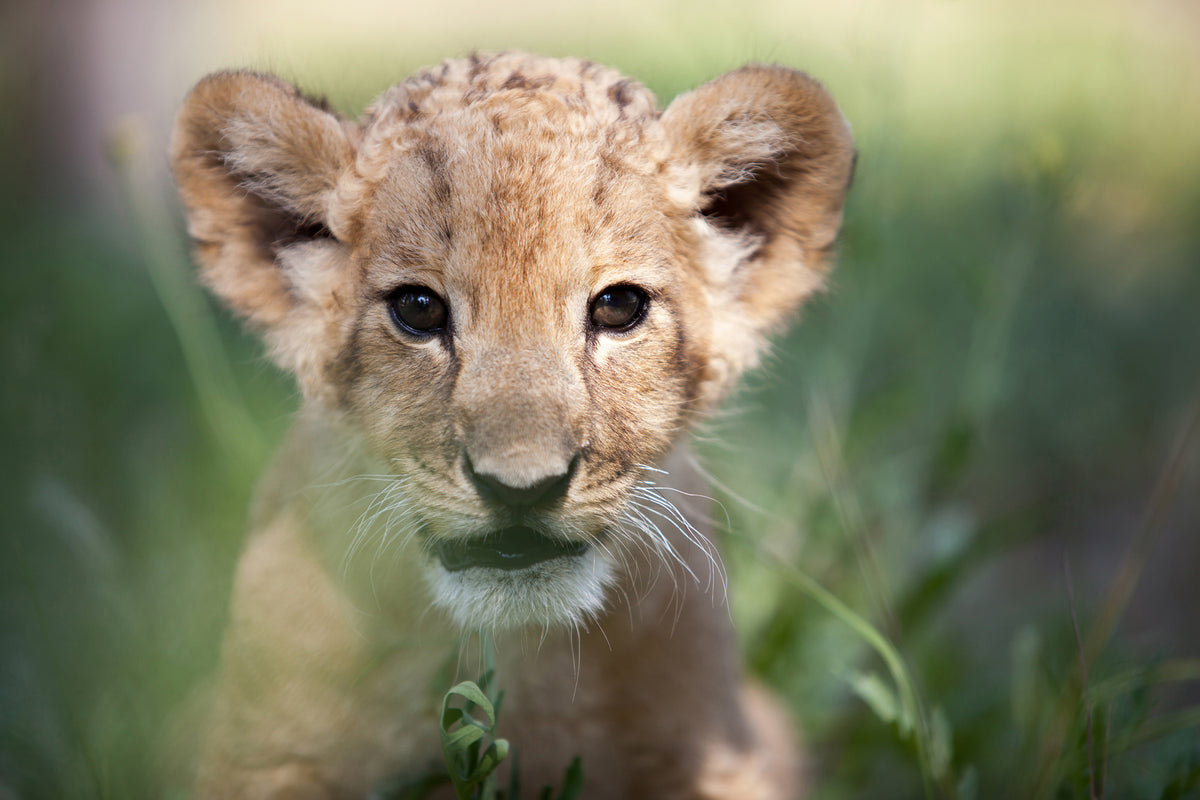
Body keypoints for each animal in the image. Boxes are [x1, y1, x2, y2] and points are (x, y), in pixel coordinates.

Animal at [170, 51, 853, 799]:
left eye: (618, 307)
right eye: (417, 309)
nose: (522, 488)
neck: (521, 660)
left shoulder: (719, 752)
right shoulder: (261, 757)